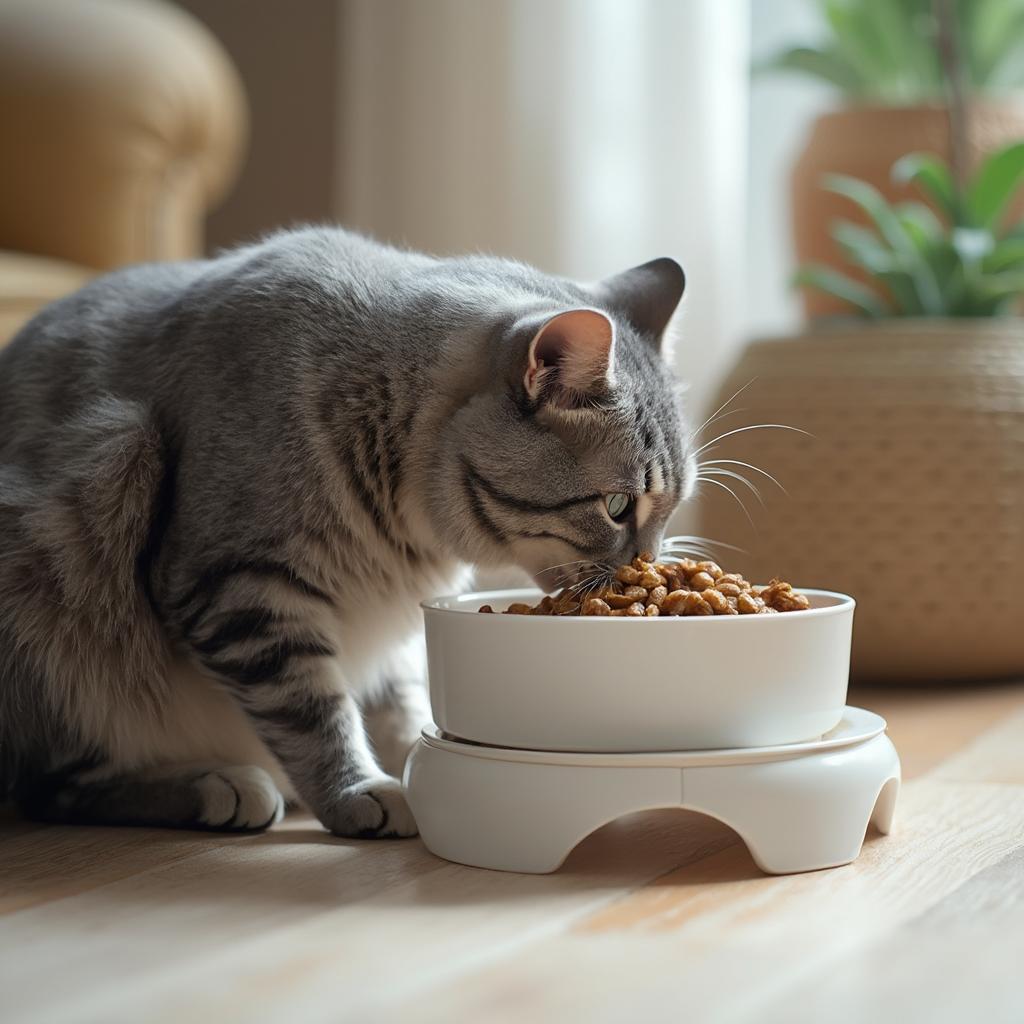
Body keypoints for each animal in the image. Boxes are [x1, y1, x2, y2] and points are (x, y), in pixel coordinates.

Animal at [0, 228, 696, 835]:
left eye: (673, 508)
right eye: (617, 506)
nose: (648, 566)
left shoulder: (388, 635)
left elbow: (402, 707)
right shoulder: (242, 591)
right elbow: (314, 713)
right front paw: (358, 789)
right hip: (98, 482)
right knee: (52, 787)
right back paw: (218, 784)